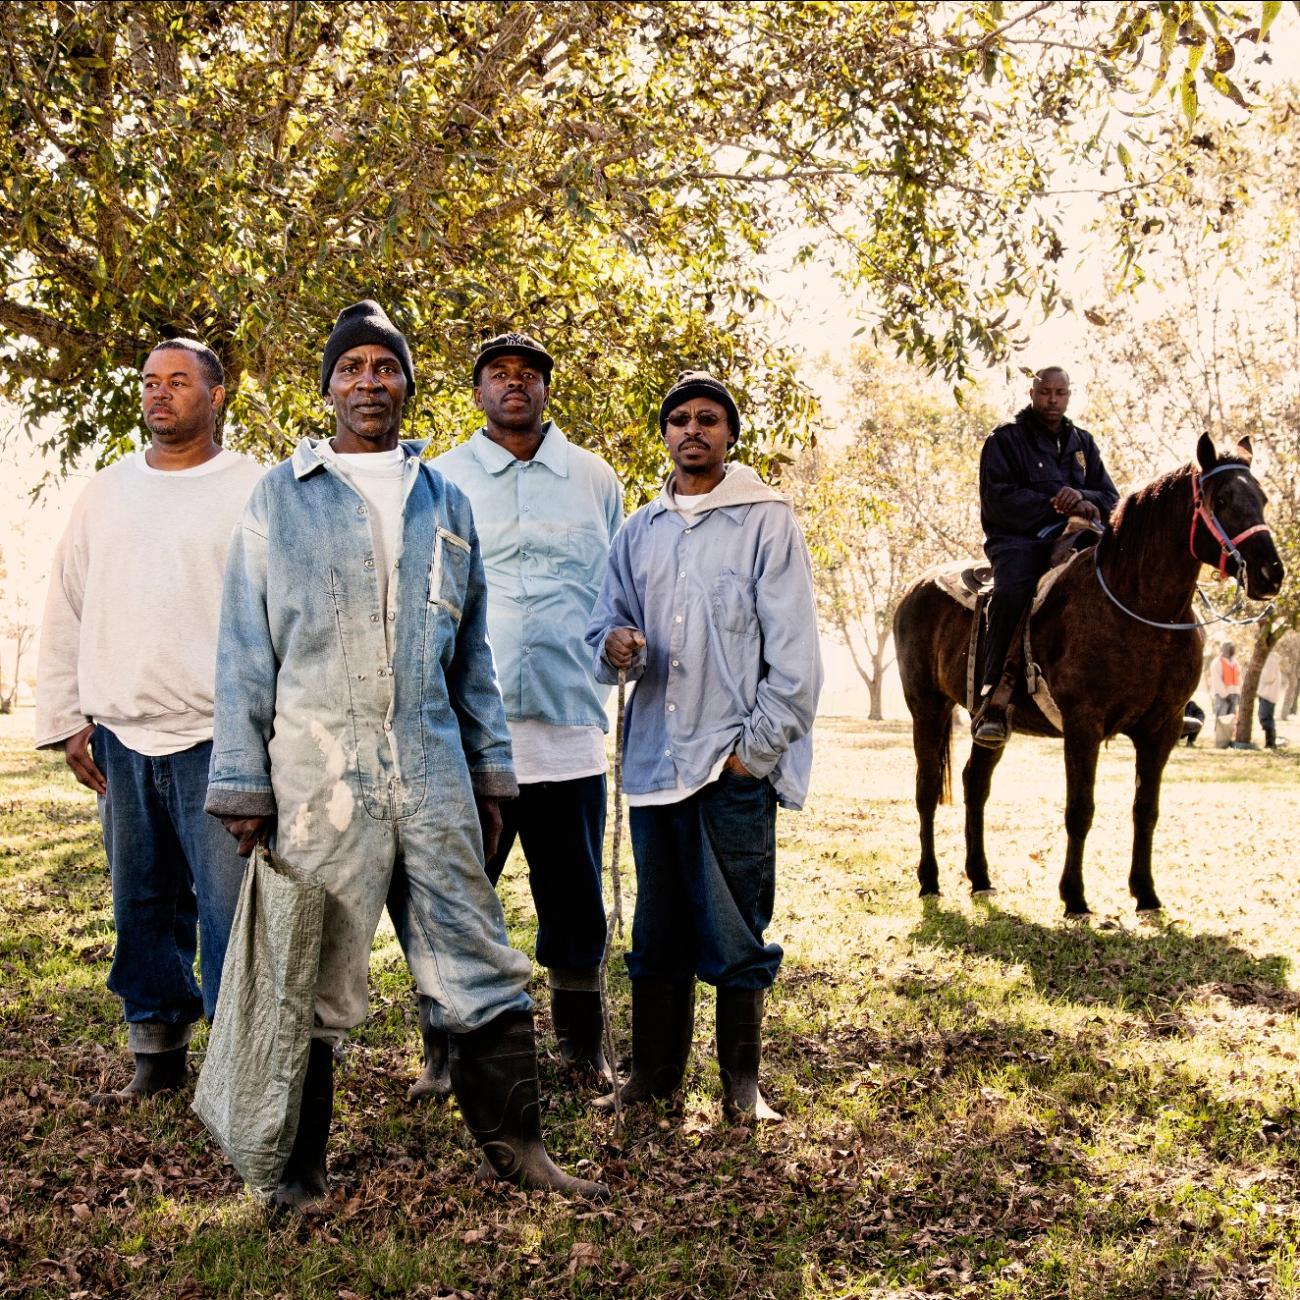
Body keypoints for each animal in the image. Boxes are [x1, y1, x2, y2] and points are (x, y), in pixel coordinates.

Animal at [899, 436, 1284, 915]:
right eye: (1224, 500)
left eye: (1262, 499)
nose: (1271, 573)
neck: (1139, 607)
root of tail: (914, 590)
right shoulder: (1084, 725)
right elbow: (1080, 809)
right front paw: (1075, 897)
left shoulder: (1163, 727)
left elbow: (1146, 809)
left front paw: (1146, 894)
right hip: (927, 708)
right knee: (927, 787)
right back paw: (929, 880)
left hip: (988, 723)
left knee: (975, 783)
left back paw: (981, 878)